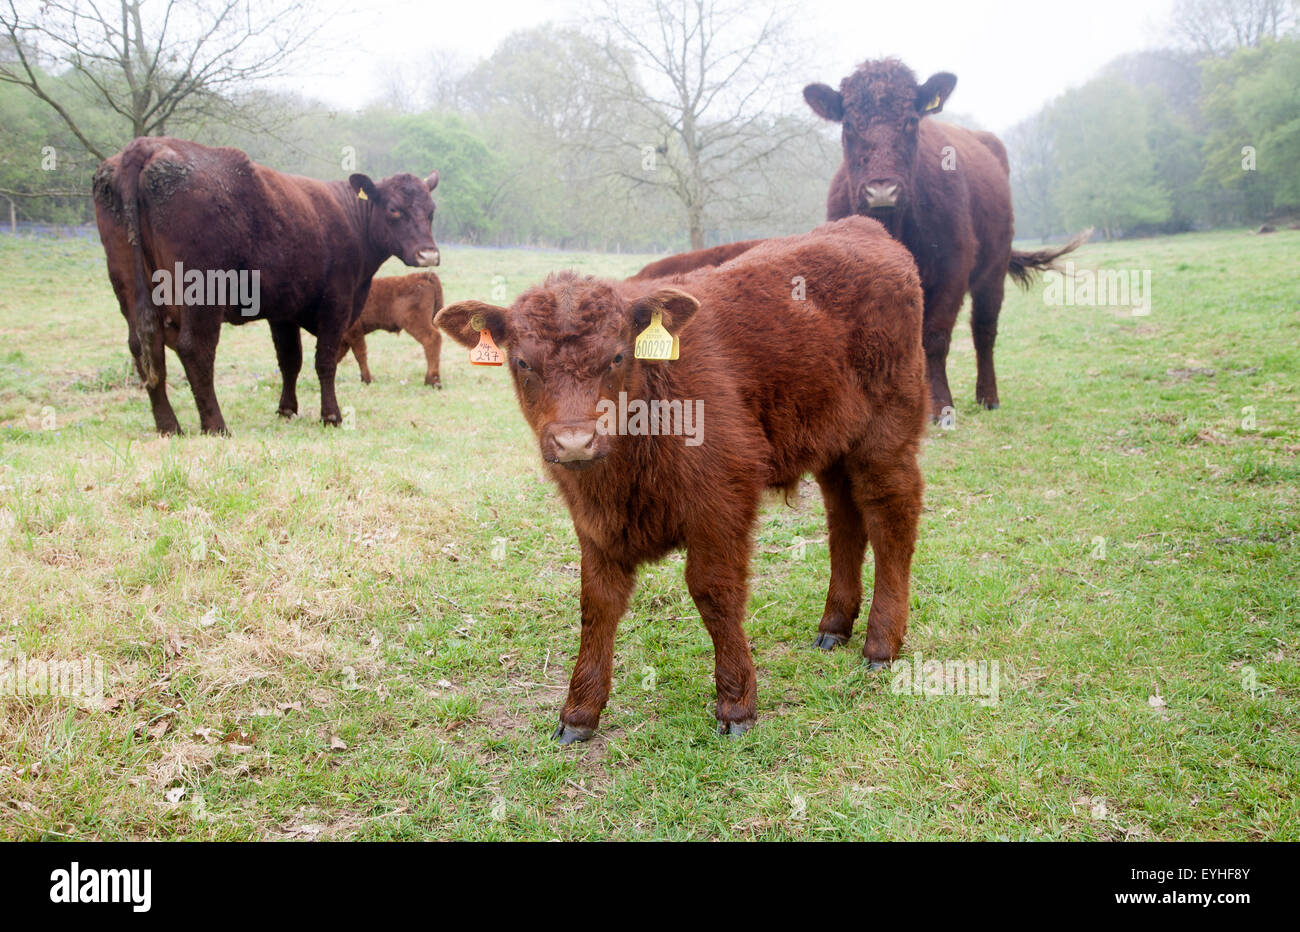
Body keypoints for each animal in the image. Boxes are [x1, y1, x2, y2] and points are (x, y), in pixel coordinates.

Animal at [92, 136, 441, 434]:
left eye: (431, 211)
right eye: (394, 209)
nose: (429, 254)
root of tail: (147, 144)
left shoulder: (282, 311)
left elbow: (290, 360)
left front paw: (286, 409)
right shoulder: (337, 303)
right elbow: (324, 360)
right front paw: (331, 416)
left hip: (127, 284)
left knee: (144, 348)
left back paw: (169, 427)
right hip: (201, 292)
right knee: (195, 349)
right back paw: (216, 426)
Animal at [441, 215, 930, 743]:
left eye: (618, 357)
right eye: (523, 362)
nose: (575, 442)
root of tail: (865, 227)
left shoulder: (722, 500)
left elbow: (714, 593)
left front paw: (736, 704)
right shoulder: (592, 522)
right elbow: (597, 603)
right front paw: (579, 712)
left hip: (886, 433)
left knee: (891, 518)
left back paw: (881, 644)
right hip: (834, 443)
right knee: (845, 521)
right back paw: (835, 625)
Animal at [800, 57, 1086, 413]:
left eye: (910, 121)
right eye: (849, 125)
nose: (882, 189)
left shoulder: (953, 269)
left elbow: (935, 338)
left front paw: (940, 406)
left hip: (993, 268)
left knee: (984, 329)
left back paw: (988, 396)